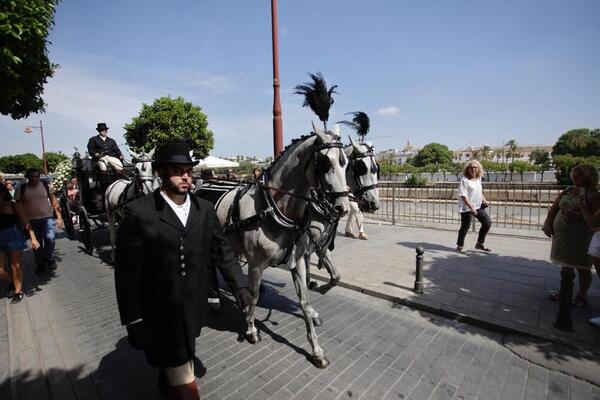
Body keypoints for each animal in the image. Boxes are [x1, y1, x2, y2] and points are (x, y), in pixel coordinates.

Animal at [196, 122, 349, 368]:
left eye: (345, 162)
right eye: (325, 163)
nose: (342, 207)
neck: (273, 208)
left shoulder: (298, 261)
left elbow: (304, 302)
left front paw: (316, 350)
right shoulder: (256, 264)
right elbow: (254, 295)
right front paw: (251, 328)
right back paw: (215, 300)